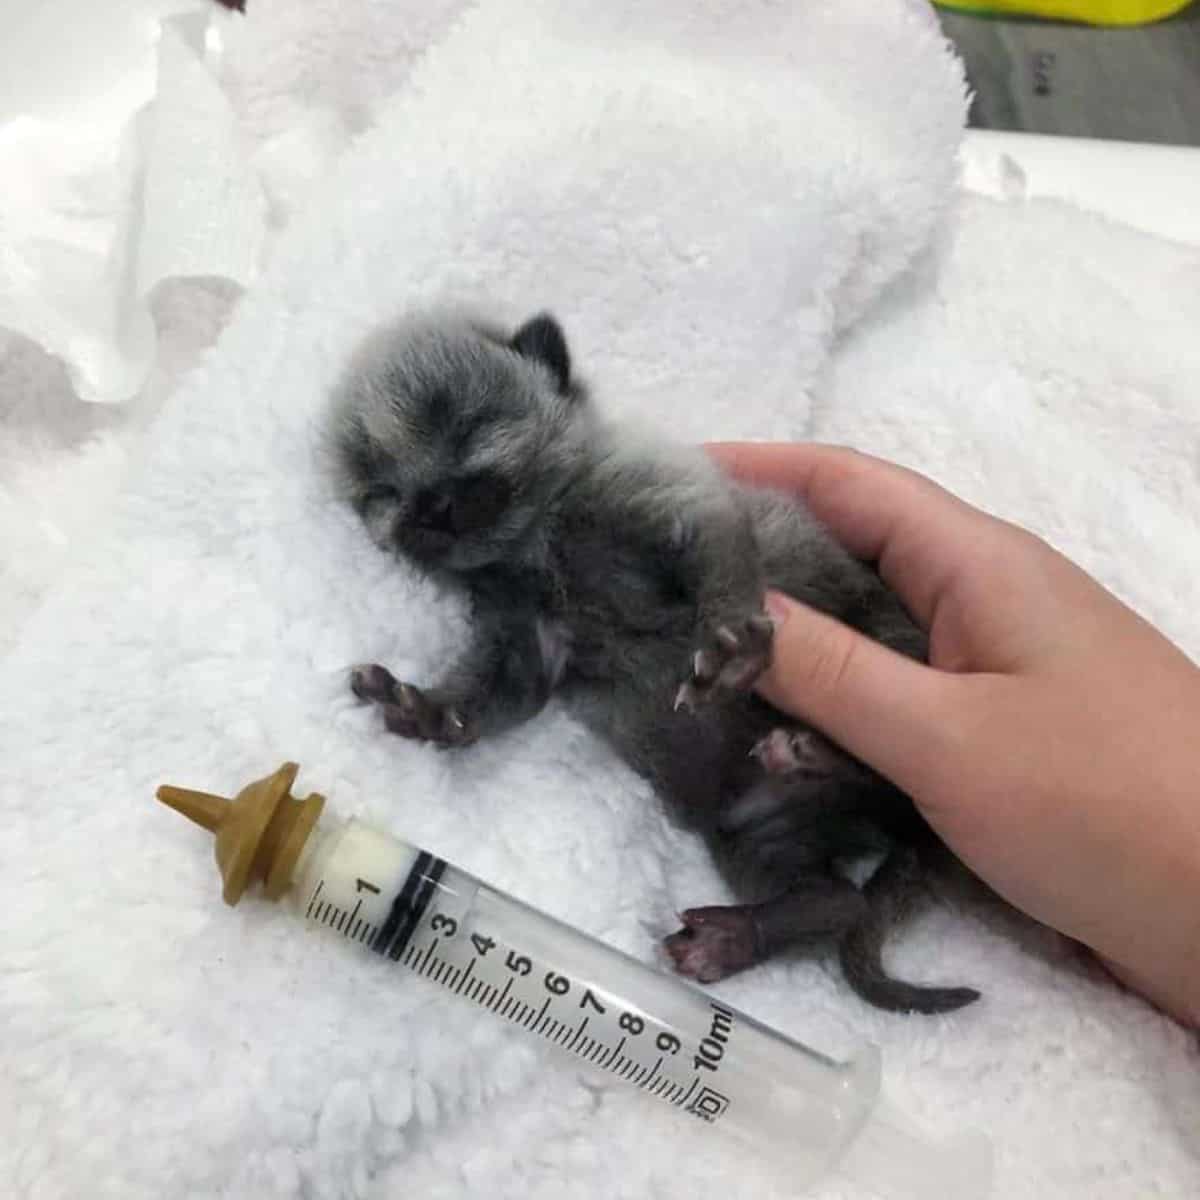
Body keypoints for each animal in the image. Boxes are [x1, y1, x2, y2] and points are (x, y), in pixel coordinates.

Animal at [326, 307, 974, 1012]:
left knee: (888, 769)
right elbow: (499, 695)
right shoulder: (530, 635)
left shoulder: (675, 498)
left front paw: (734, 646)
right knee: (838, 900)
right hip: (758, 832)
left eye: (470, 423)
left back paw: (812, 752)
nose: (433, 508)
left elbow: (722, 561)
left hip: (891, 661)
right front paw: (425, 711)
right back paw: (741, 933)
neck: (541, 542)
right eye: (381, 490)